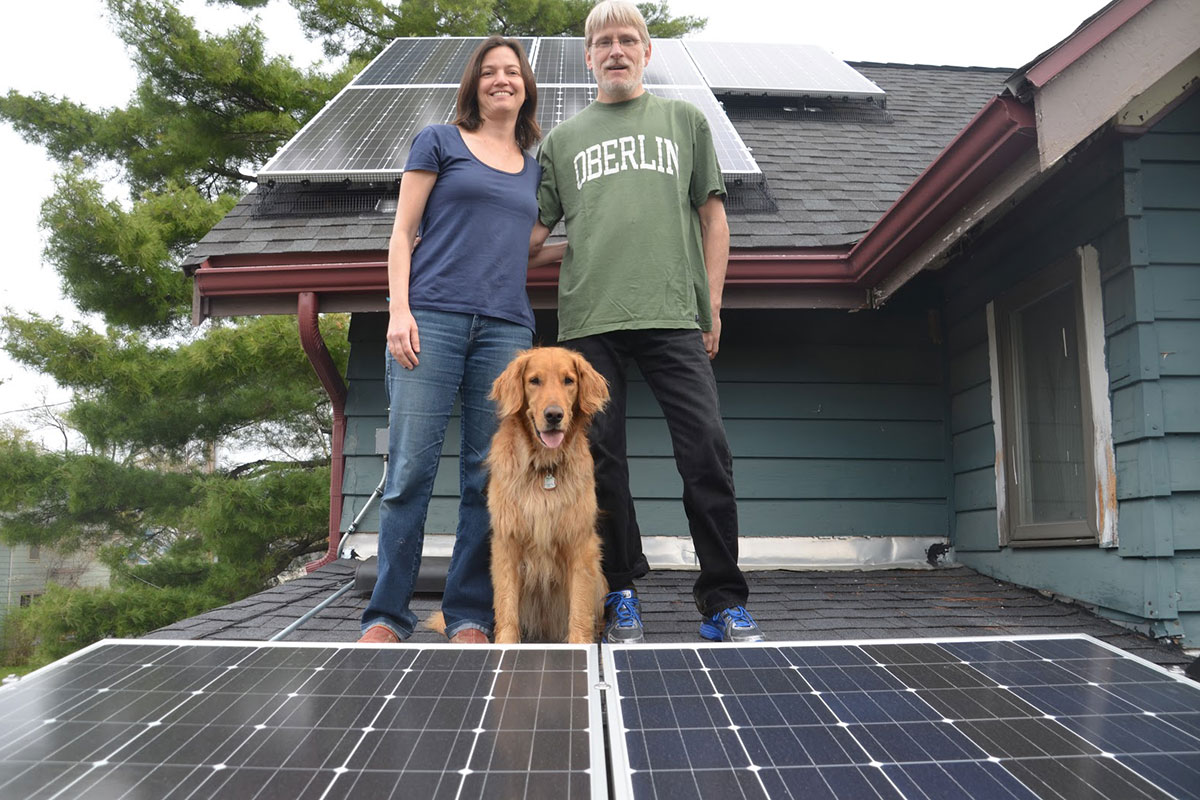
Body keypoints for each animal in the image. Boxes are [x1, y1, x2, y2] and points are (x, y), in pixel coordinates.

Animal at [484, 345, 609, 642]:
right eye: (534, 381)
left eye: (569, 381)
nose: (554, 415)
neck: (543, 466)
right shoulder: (506, 543)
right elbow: (506, 606)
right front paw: (505, 643)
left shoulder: (581, 544)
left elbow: (579, 608)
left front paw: (580, 643)